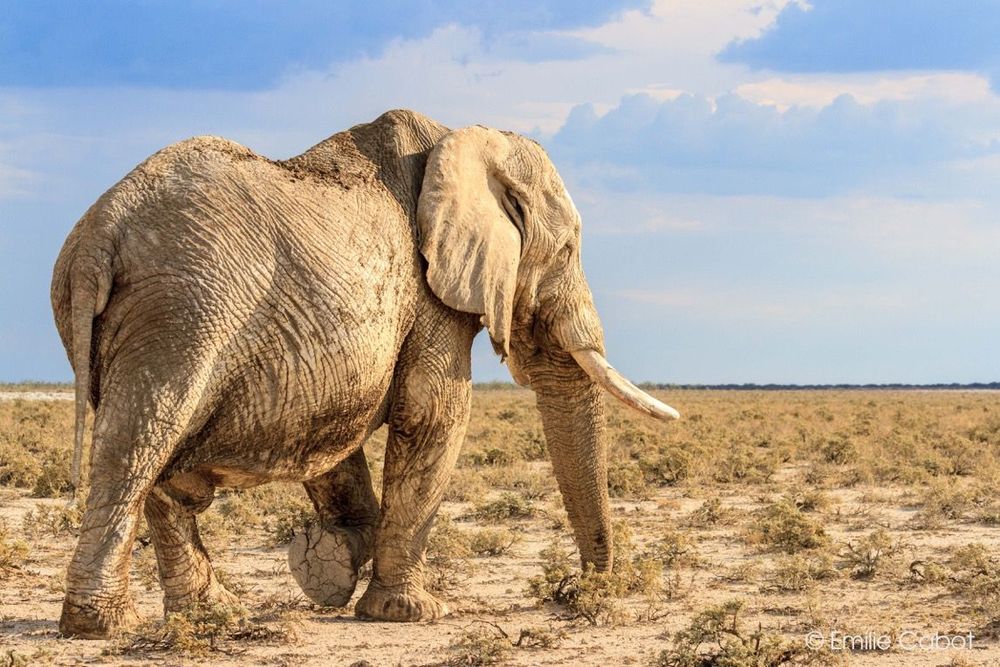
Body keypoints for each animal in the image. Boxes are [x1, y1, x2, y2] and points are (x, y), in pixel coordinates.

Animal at [50, 109, 679, 639]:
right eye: (568, 249)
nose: (575, 591)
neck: (463, 136)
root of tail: (97, 236)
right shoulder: (430, 298)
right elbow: (434, 415)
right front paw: (407, 612)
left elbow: (335, 434)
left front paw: (328, 562)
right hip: (181, 315)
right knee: (138, 446)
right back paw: (103, 626)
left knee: (158, 465)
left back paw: (212, 615)